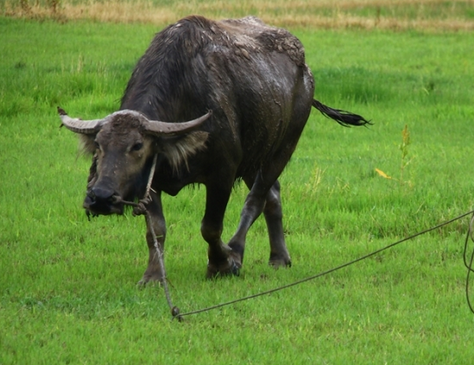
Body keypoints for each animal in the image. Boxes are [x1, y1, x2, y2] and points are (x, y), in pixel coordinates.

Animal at [60, 14, 370, 282]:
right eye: (99, 145)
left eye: (137, 146)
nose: (100, 197)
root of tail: (305, 71)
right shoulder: (154, 180)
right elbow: (156, 230)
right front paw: (153, 276)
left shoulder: (222, 174)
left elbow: (210, 227)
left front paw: (221, 263)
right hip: (255, 156)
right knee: (272, 196)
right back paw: (279, 257)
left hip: (283, 148)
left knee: (256, 199)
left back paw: (239, 252)